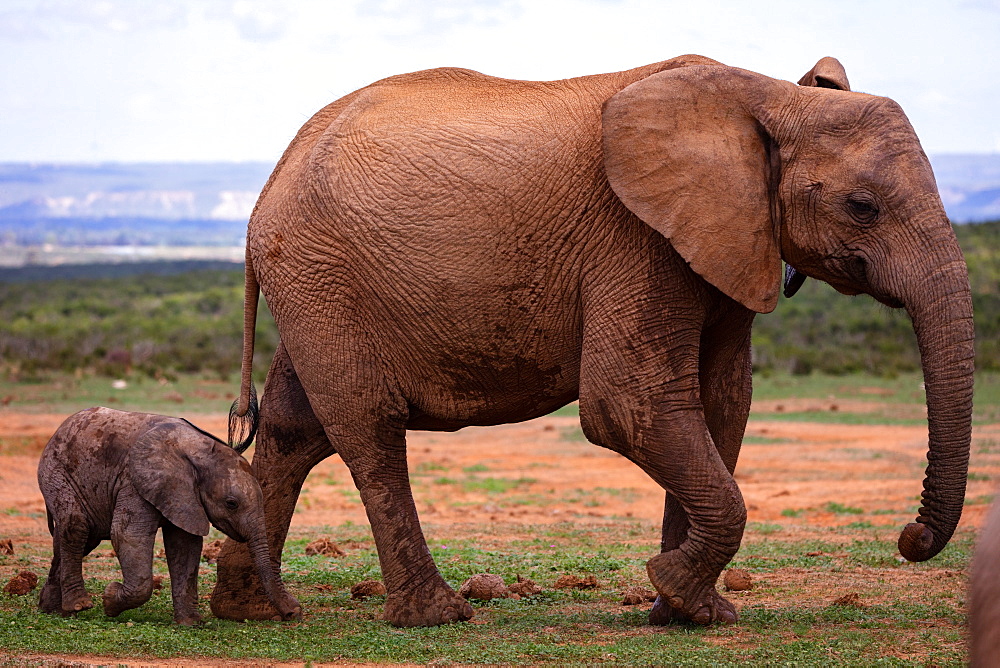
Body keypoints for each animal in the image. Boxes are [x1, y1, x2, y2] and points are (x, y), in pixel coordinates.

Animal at [40, 408, 296, 628]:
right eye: (231, 504)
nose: (293, 612)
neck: (200, 450)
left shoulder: (185, 495)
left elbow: (185, 546)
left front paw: (191, 624)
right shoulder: (135, 480)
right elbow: (128, 535)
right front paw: (109, 599)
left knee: (78, 538)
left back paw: (53, 610)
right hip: (54, 471)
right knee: (76, 526)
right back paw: (78, 606)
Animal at [209, 54, 968, 628]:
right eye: (861, 206)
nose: (910, 539)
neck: (769, 95)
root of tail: (264, 192)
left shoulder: (724, 241)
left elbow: (722, 403)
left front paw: (686, 612)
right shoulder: (636, 240)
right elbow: (629, 408)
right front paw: (675, 587)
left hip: (312, 282)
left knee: (293, 428)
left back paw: (253, 612)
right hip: (324, 275)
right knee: (368, 428)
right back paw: (437, 616)